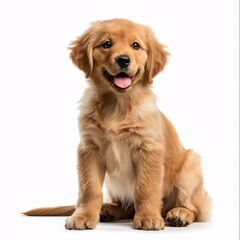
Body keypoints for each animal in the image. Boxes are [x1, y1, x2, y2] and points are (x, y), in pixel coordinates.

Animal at [24, 18, 212, 231]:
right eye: (107, 44)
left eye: (136, 45)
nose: (123, 60)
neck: (117, 105)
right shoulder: (89, 149)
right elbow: (89, 188)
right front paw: (83, 216)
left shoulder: (148, 150)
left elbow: (146, 187)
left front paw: (148, 217)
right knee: (126, 206)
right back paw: (108, 209)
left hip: (191, 165)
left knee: (193, 208)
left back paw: (179, 213)